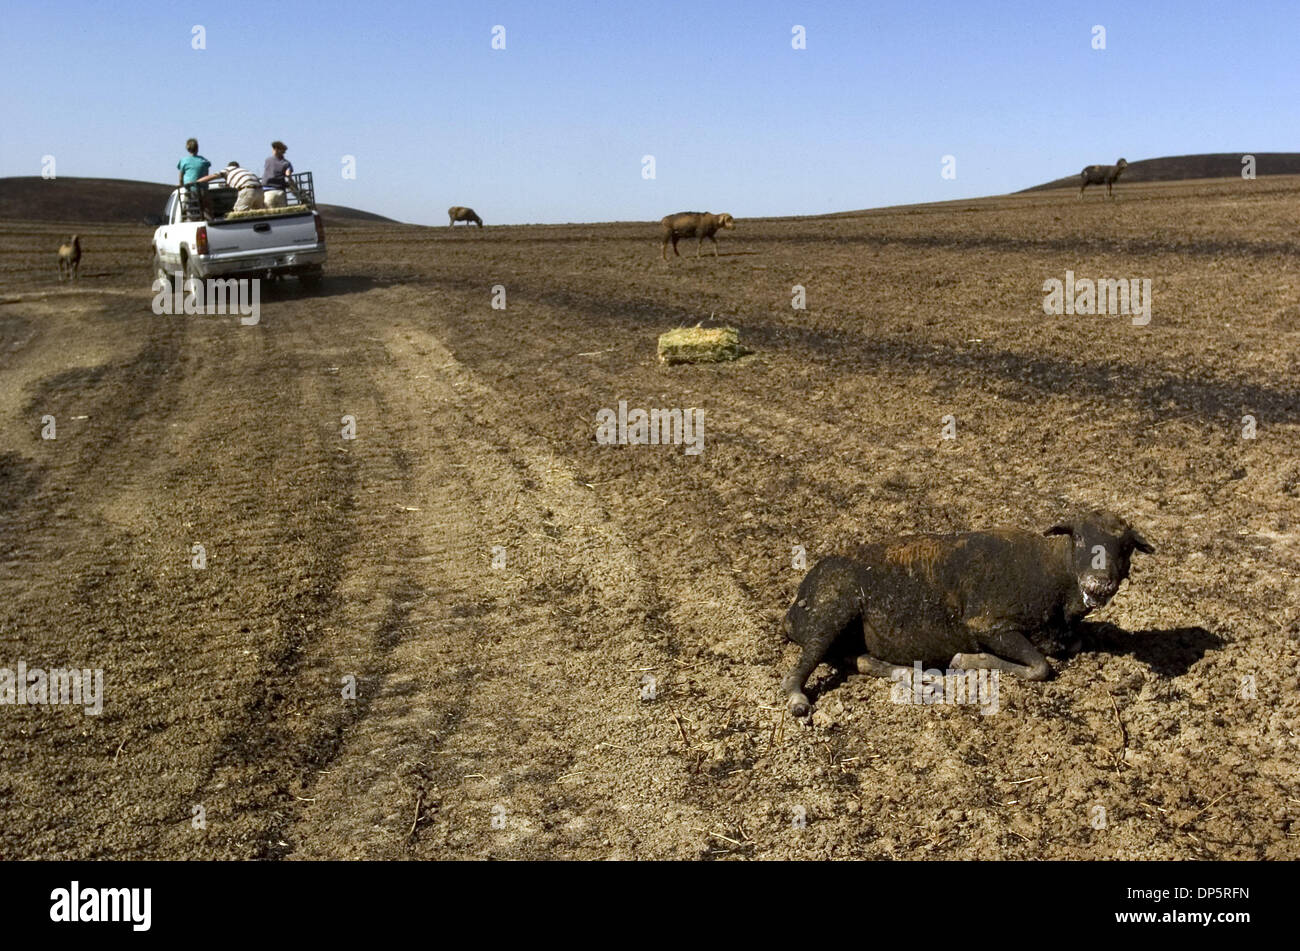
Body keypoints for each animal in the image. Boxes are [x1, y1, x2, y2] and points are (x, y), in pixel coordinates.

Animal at [781, 509, 1155, 716]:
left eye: (1126, 547)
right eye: (1078, 539)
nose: (1099, 585)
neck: (1055, 576)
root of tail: (793, 608)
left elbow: (1066, 649)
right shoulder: (988, 625)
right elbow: (1041, 667)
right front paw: (967, 660)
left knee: (857, 659)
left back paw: (917, 676)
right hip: (832, 611)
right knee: (802, 666)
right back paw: (798, 699)